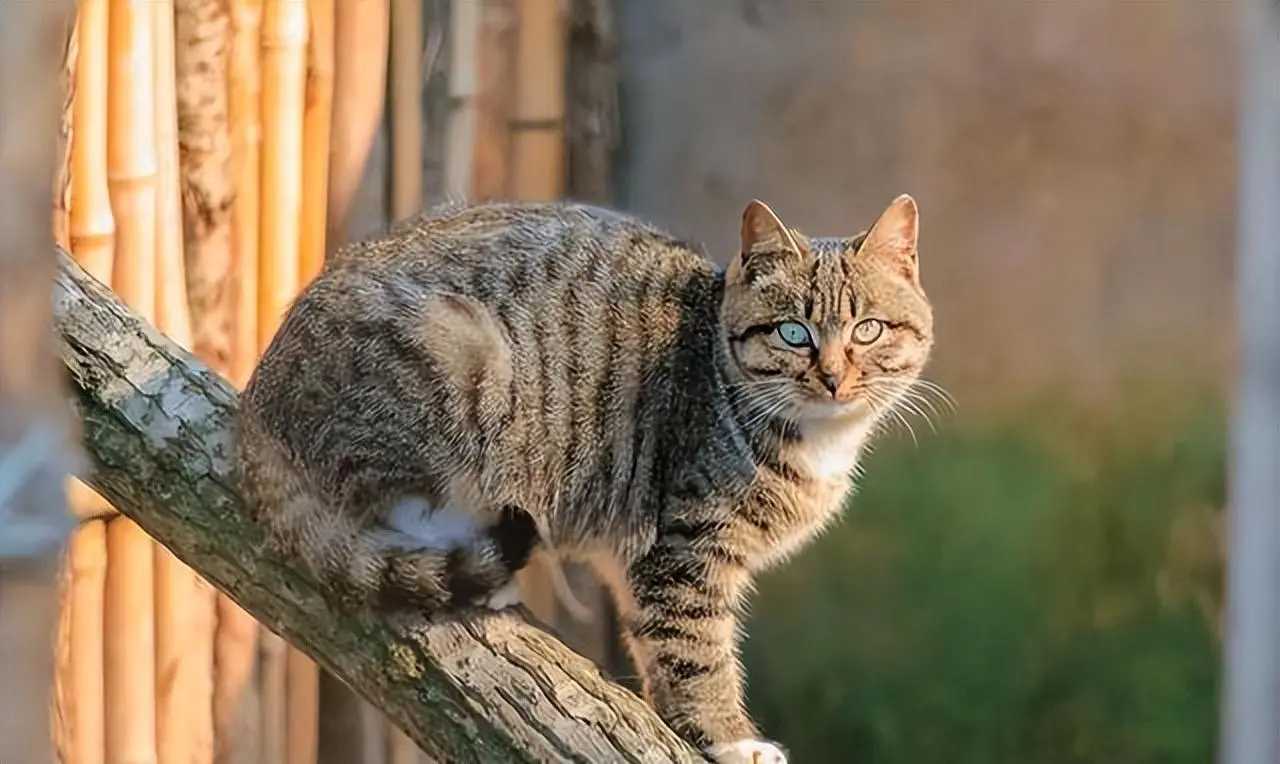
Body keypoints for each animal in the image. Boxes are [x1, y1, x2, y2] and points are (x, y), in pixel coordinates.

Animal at [232, 191, 931, 762]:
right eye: (793, 332)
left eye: (868, 329)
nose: (834, 377)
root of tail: (257, 405)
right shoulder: (685, 546)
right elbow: (698, 651)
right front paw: (729, 738)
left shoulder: (640, 558)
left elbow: (656, 642)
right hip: (460, 357)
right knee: (389, 498)